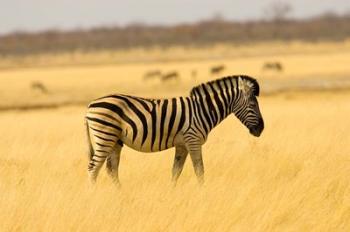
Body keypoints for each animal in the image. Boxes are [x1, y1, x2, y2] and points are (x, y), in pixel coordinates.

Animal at [86, 75, 264, 186]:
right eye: (253, 105)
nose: (261, 129)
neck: (203, 110)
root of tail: (90, 105)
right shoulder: (193, 140)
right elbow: (199, 170)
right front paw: (203, 192)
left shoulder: (182, 144)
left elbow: (175, 171)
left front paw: (171, 193)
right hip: (105, 136)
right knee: (93, 168)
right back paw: (93, 195)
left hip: (115, 140)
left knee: (111, 170)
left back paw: (120, 194)